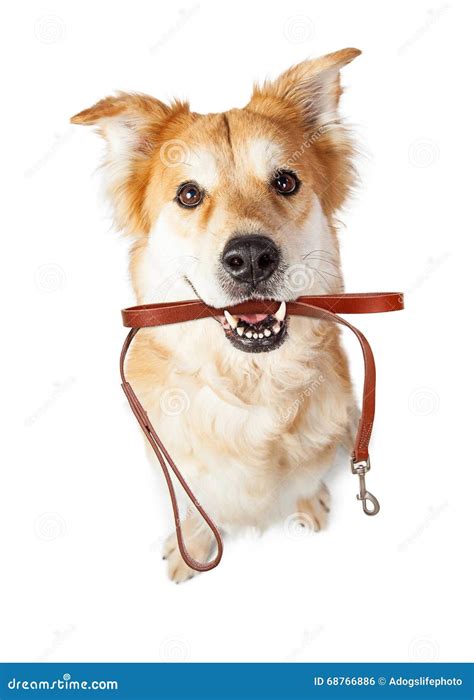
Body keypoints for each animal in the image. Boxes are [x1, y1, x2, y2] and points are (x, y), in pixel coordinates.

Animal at [71, 45, 360, 580]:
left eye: (285, 181)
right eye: (189, 194)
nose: (251, 258)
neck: (251, 384)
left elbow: (308, 475)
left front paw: (308, 502)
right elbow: (193, 500)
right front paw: (194, 542)